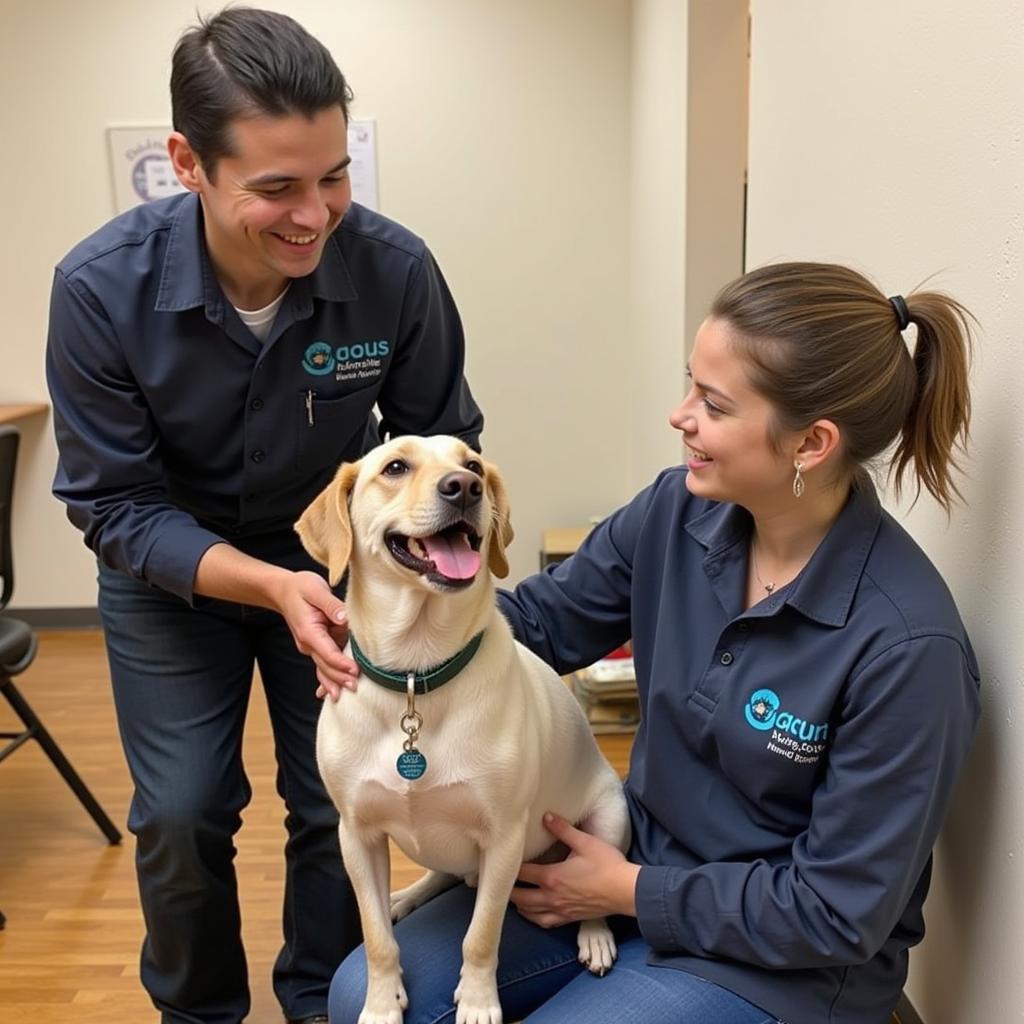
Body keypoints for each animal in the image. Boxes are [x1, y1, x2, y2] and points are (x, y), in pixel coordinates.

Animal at [296, 434, 626, 1024]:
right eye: (395, 467)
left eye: (472, 463)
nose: (465, 487)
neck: (415, 672)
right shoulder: (355, 835)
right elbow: (375, 938)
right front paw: (381, 1004)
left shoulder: (503, 839)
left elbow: (482, 935)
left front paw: (476, 1002)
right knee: (442, 875)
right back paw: (405, 898)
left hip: (610, 816)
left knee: (595, 890)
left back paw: (595, 937)